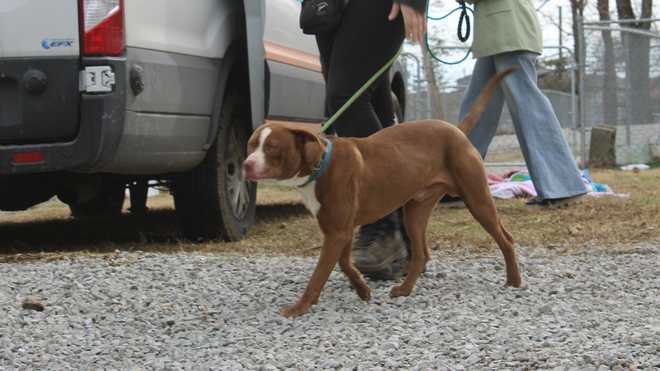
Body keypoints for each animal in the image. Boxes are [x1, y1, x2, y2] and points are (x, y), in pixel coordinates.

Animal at [242, 69, 520, 316]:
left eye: (272, 147)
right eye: (251, 145)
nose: (245, 164)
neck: (320, 164)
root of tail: (457, 130)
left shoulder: (337, 232)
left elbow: (319, 274)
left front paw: (299, 308)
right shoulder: (340, 230)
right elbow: (344, 263)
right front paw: (362, 289)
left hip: (477, 199)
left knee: (506, 240)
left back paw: (514, 281)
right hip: (415, 212)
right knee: (421, 254)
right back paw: (404, 289)